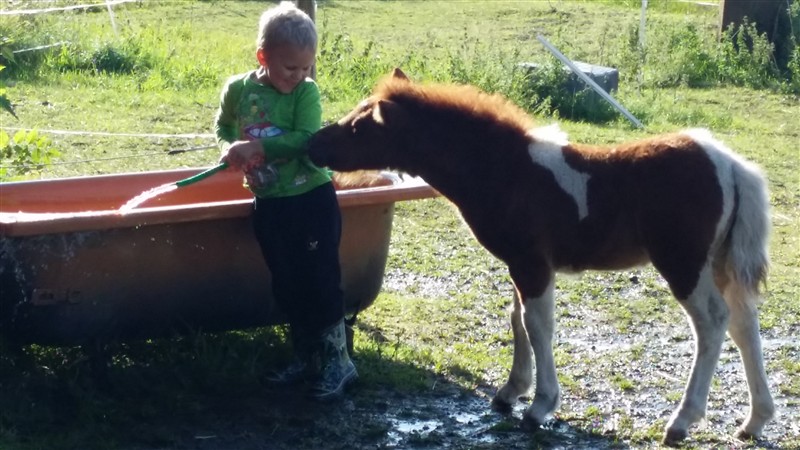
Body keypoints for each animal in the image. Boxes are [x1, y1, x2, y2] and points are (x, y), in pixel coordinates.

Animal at [306, 68, 768, 444]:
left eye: (359, 126)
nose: (312, 143)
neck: (507, 172)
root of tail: (728, 163)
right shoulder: (520, 264)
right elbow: (518, 322)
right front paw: (510, 392)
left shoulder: (532, 265)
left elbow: (538, 326)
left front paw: (539, 407)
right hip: (719, 264)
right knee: (744, 324)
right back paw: (755, 420)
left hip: (683, 265)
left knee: (713, 323)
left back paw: (682, 421)